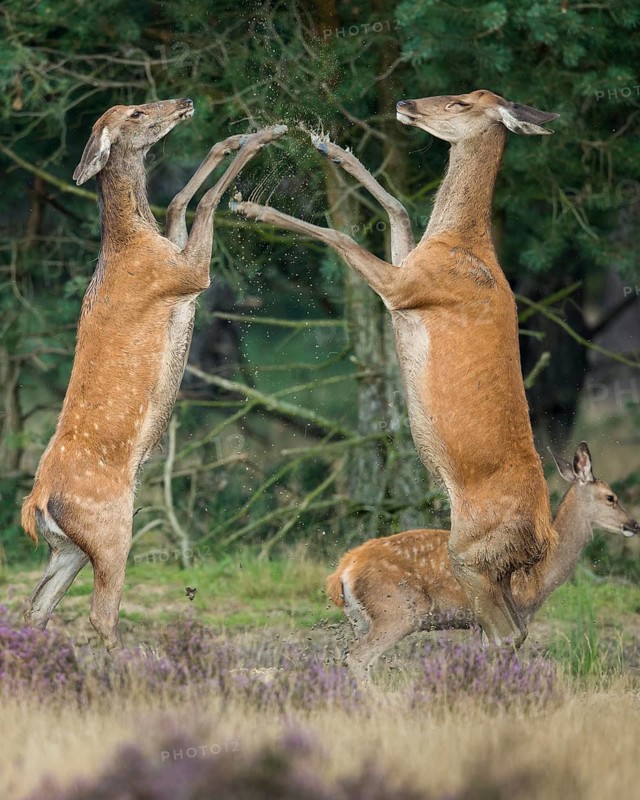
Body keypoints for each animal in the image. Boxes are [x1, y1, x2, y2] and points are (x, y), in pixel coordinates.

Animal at [21, 98, 287, 651]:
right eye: (135, 115)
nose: (183, 102)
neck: (136, 241)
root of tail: (36, 504)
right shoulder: (185, 275)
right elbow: (201, 205)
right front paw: (265, 134)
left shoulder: (178, 256)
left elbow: (180, 202)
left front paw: (233, 138)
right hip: (113, 529)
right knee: (100, 613)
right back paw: (136, 659)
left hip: (68, 549)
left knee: (36, 607)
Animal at [231, 89, 560, 647]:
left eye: (460, 102)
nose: (407, 102)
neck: (456, 243)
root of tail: (544, 535)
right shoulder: (407, 269)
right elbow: (400, 209)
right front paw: (329, 147)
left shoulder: (407, 287)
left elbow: (343, 237)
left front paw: (252, 206)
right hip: (494, 568)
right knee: (515, 625)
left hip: (471, 552)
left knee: (503, 632)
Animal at [326, 442, 640, 679]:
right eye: (610, 497)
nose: (633, 525)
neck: (540, 576)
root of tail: (343, 570)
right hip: (398, 610)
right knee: (358, 657)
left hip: (360, 618)